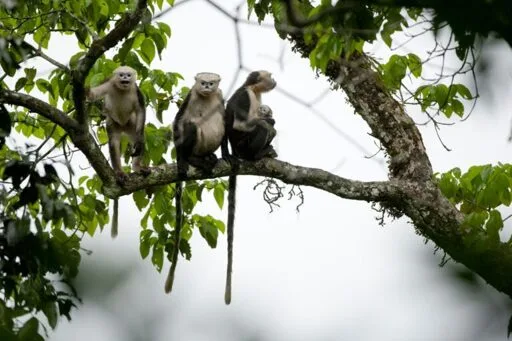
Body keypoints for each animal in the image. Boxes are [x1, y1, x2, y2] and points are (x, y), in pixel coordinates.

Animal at [86, 65, 149, 238]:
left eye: (128, 75)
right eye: (121, 75)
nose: (125, 78)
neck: (122, 90)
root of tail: (122, 126)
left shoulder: (135, 90)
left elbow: (141, 110)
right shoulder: (109, 83)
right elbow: (93, 95)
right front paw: (85, 89)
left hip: (130, 124)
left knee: (138, 138)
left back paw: (137, 167)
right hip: (113, 124)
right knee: (114, 144)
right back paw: (119, 172)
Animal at [165, 71, 229, 292]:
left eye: (211, 83)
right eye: (203, 83)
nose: (207, 87)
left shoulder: (220, 95)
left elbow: (227, 120)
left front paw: (227, 154)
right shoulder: (191, 95)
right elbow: (178, 121)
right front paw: (180, 160)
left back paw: (210, 157)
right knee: (190, 126)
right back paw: (191, 159)